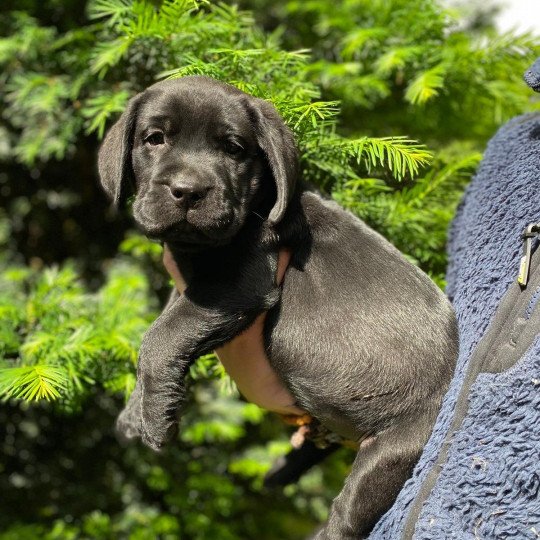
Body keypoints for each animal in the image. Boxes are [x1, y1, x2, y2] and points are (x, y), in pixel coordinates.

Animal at [99, 77, 458, 540]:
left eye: (234, 149)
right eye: (154, 139)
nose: (188, 191)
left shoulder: (239, 284)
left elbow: (161, 337)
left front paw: (157, 419)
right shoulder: (191, 288)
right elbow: (162, 331)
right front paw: (136, 413)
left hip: (394, 450)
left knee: (348, 515)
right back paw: (280, 470)